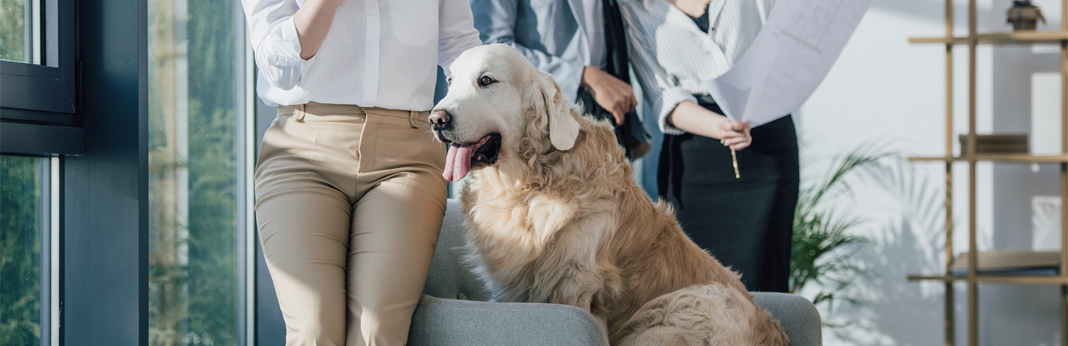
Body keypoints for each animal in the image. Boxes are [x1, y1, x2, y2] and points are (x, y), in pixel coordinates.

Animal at [429, 44, 790, 343]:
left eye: (486, 80)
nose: (436, 119)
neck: (529, 183)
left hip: (685, 305)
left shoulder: (575, 286)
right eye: (450, 80)